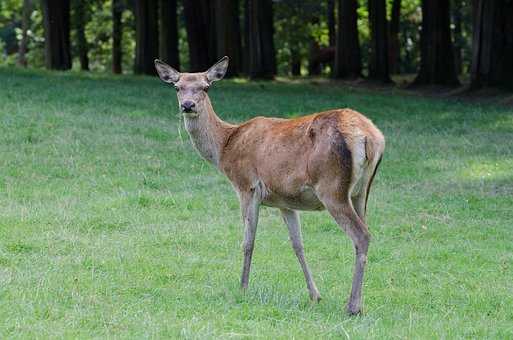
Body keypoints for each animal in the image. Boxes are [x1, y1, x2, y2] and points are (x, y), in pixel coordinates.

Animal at [153, 56, 384, 316]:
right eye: (177, 87)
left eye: (206, 87)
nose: (188, 105)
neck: (225, 148)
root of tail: (371, 137)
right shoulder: (286, 200)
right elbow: (298, 245)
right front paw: (315, 295)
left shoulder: (247, 185)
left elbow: (248, 241)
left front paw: (242, 288)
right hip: (362, 191)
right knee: (363, 233)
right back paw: (360, 303)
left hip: (332, 188)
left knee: (361, 235)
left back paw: (352, 306)